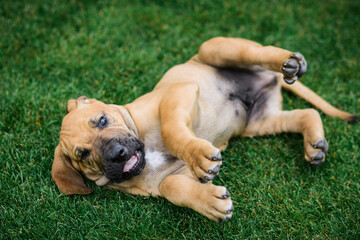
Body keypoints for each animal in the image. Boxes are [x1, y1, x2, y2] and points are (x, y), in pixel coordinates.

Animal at [51, 36, 358, 222]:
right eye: (82, 154)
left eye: (102, 121)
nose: (118, 154)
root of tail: (271, 79)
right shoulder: (168, 180)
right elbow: (173, 187)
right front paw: (210, 202)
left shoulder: (177, 94)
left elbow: (172, 132)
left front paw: (197, 155)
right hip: (260, 122)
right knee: (307, 113)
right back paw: (314, 144)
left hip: (216, 48)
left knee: (260, 52)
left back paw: (289, 63)